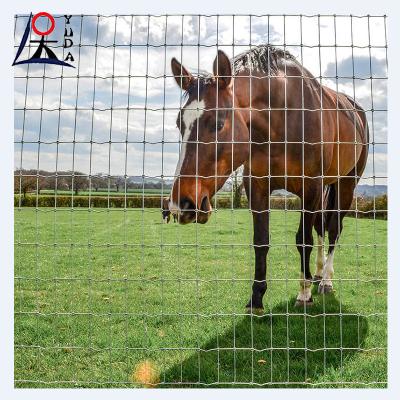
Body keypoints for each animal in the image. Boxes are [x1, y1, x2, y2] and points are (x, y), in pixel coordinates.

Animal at [168, 44, 368, 312]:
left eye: (218, 124)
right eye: (179, 123)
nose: (182, 204)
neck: (282, 119)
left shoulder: (311, 188)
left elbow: (303, 240)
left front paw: (304, 294)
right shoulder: (257, 186)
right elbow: (261, 241)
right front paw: (256, 298)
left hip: (346, 183)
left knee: (334, 228)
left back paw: (325, 280)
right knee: (321, 227)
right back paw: (317, 273)